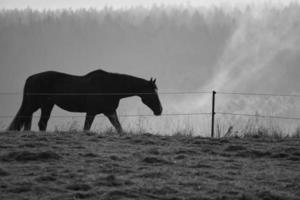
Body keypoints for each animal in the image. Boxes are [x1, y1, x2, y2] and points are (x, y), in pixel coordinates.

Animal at [7, 69, 162, 133]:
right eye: (153, 92)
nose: (160, 110)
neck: (110, 86)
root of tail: (31, 77)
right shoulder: (92, 112)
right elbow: (86, 128)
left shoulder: (109, 112)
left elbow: (119, 128)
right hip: (35, 104)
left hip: (46, 105)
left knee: (39, 123)